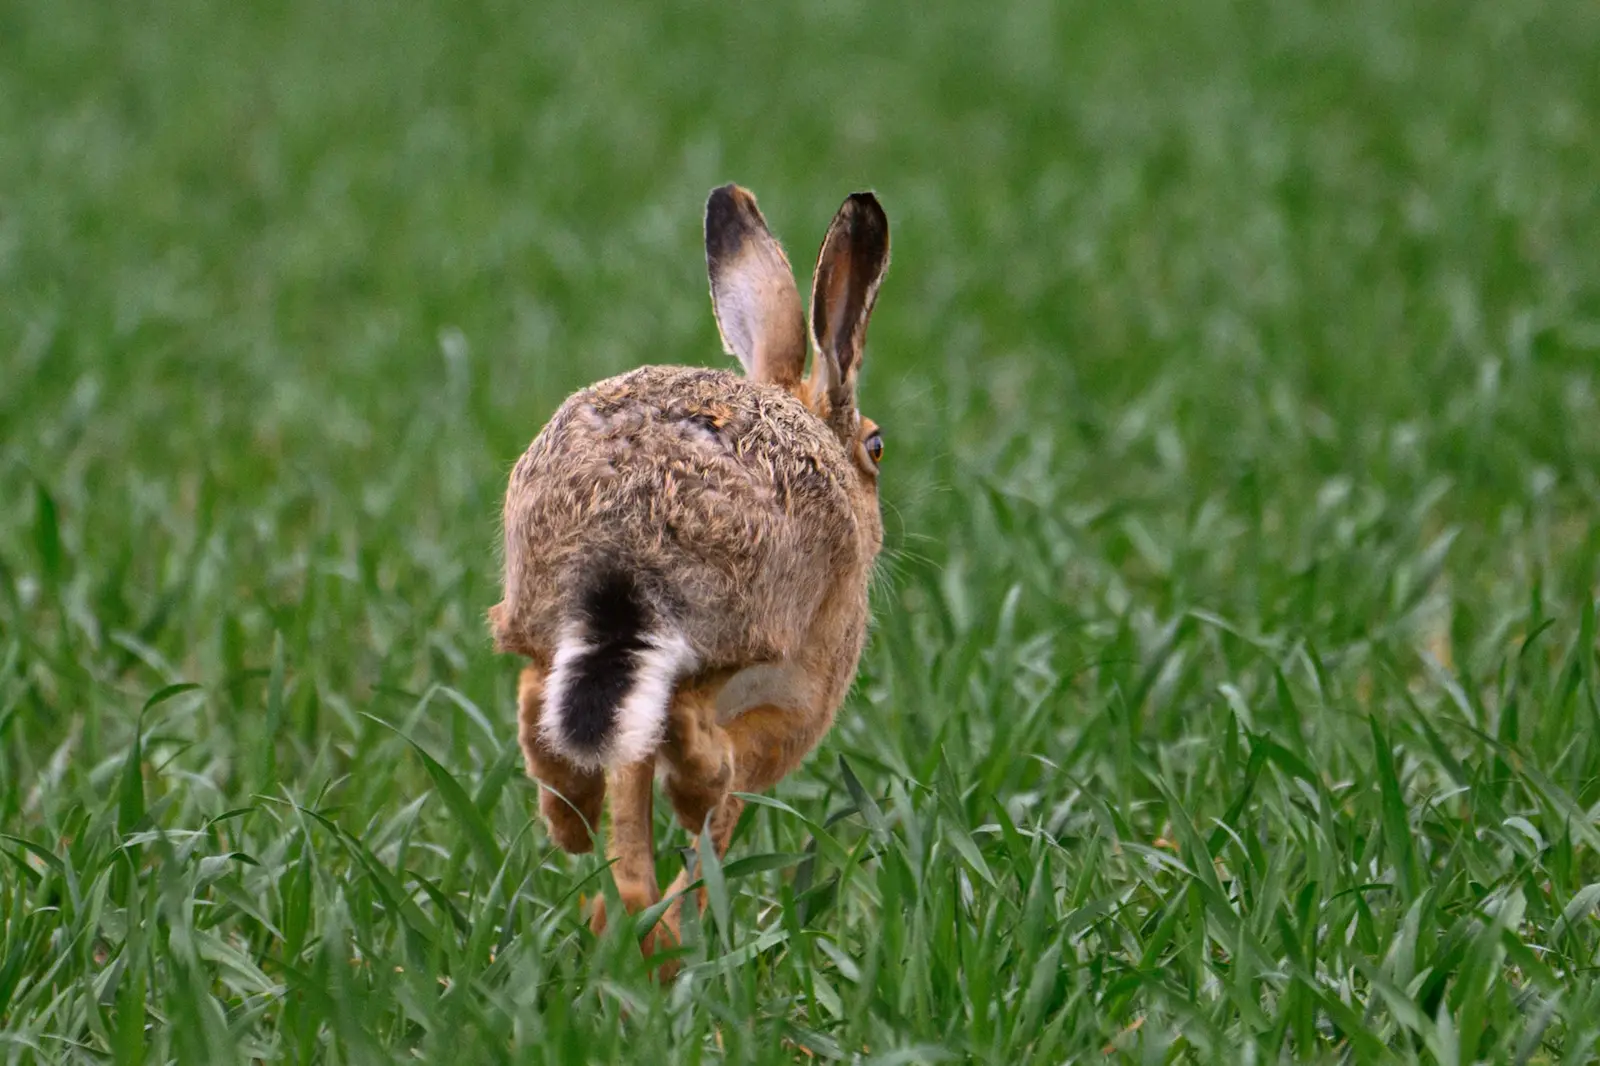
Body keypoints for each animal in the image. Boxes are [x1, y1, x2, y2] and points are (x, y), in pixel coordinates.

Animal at [489, 184, 891, 958]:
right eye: (877, 447)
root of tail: (624, 544)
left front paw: (634, 915)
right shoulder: (802, 700)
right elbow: (726, 811)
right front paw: (674, 926)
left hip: (553, 628)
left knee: (538, 700)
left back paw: (580, 837)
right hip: (741, 634)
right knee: (698, 740)